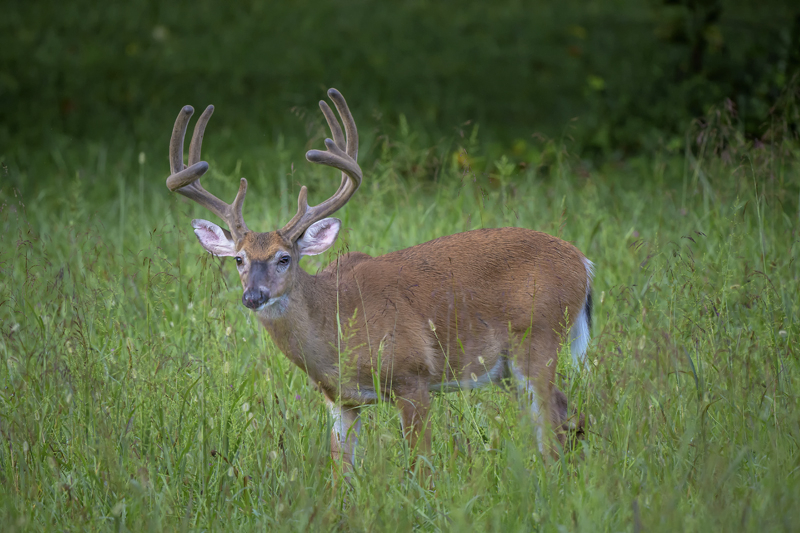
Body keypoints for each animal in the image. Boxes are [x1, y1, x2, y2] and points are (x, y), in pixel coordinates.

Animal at [166, 88, 592, 478]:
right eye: (238, 259)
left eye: (284, 258)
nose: (254, 295)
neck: (336, 326)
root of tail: (584, 263)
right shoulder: (340, 400)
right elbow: (341, 472)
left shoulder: (413, 376)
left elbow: (421, 466)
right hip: (507, 367)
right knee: (563, 412)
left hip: (539, 337)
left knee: (553, 421)